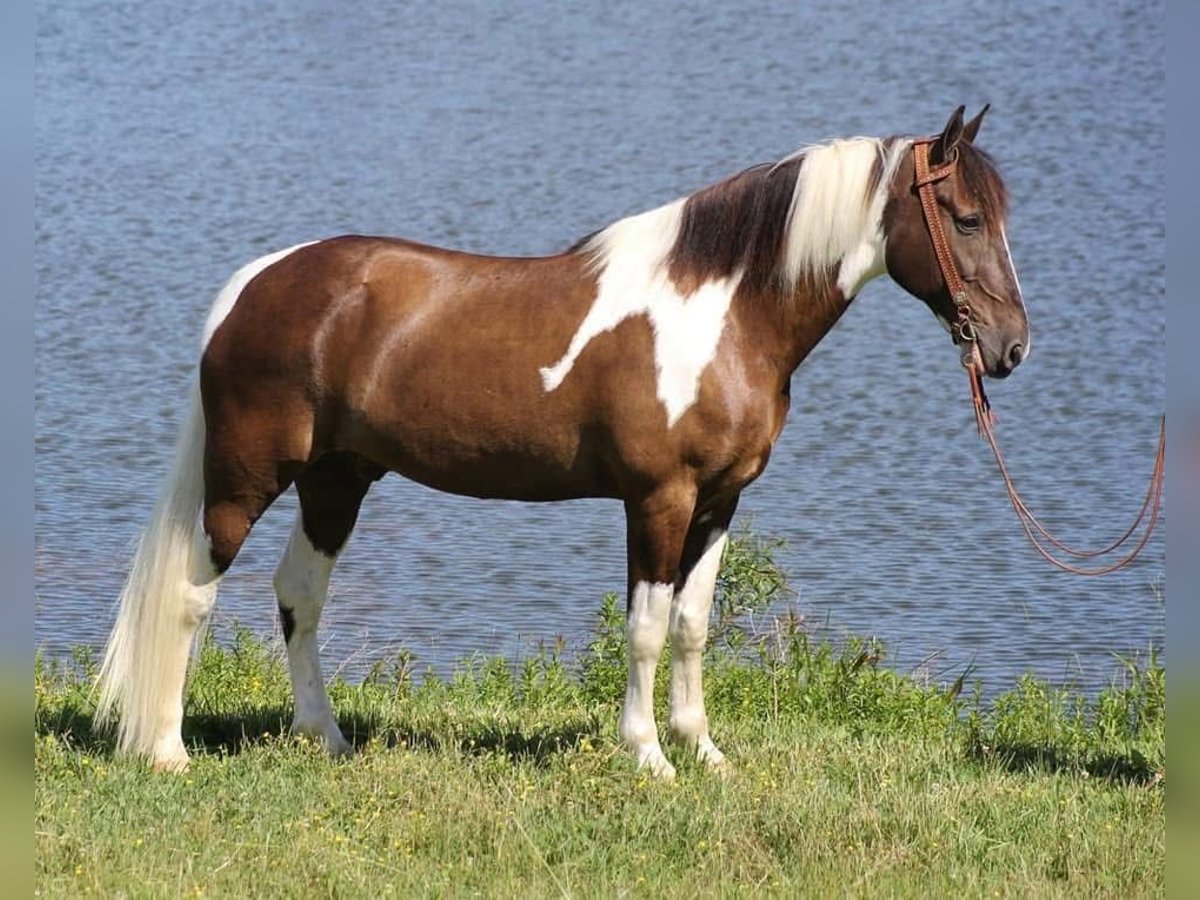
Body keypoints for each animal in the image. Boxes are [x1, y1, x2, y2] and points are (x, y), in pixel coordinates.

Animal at [96, 105, 1032, 777]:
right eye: (965, 218)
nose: (1011, 346)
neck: (722, 312)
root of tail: (256, 284)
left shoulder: (721, 501)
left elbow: (693, 625)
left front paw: (705, 753)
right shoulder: (659, 499)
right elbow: (646, 627)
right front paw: (648, 757)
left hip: (337, 480)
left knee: (299, 595)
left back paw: (324, 738)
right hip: (246, 478)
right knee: (191, 595)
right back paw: (167, 752)